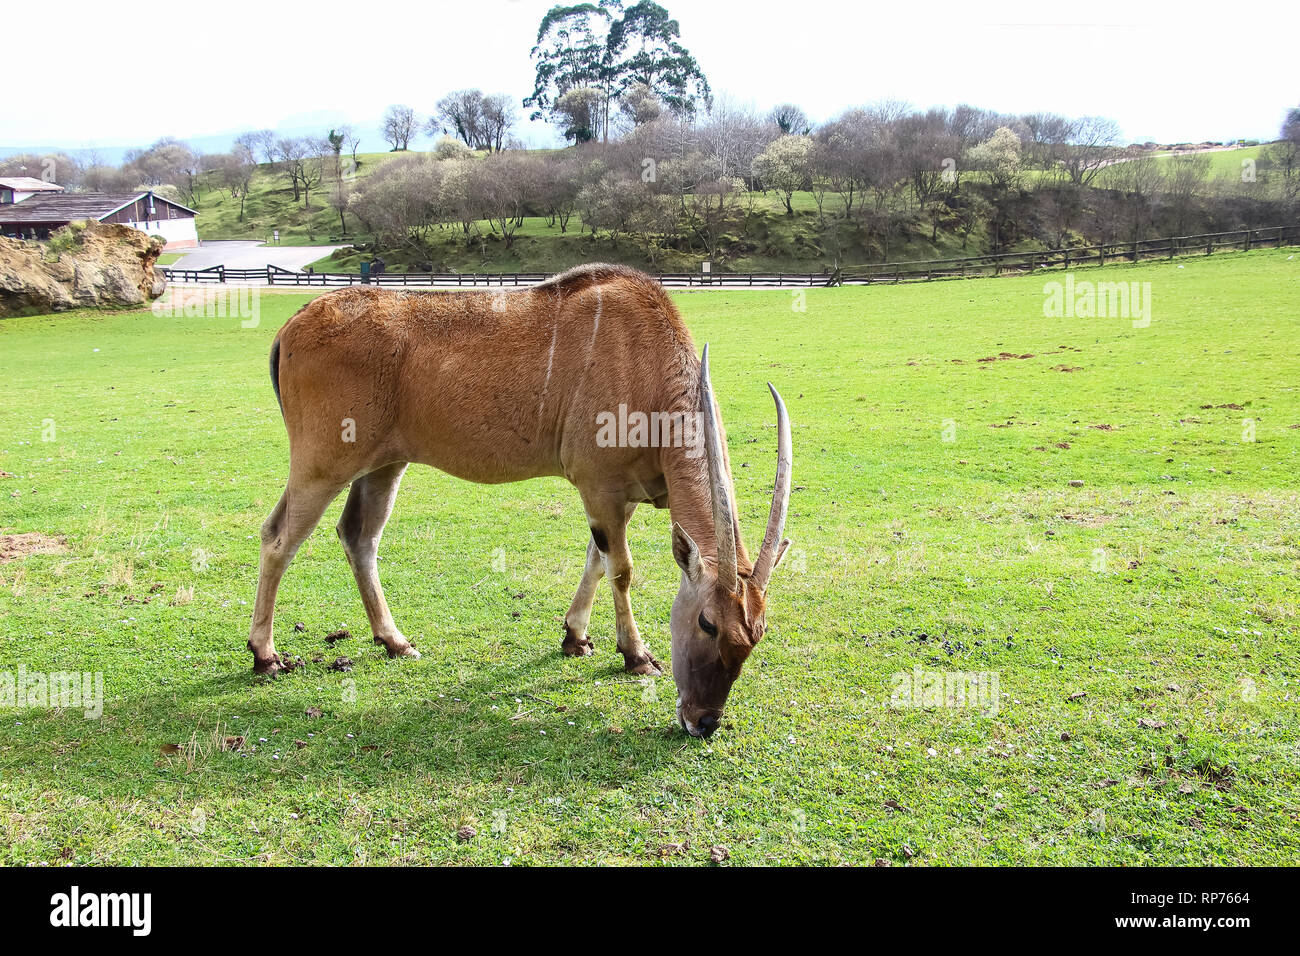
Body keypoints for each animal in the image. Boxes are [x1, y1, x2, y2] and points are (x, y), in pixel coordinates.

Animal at [249, 264, 792, 737]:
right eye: (706, 623)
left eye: (757, 634)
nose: (704, 722)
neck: (645, 363)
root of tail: (293, 325)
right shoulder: (599, 488)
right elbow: (620, 568)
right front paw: (636, 656)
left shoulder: (622, 497)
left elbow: (596, 560)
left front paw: (575, 638)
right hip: (323, 464)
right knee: (278, 537)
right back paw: (266, 655)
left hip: (384, 466)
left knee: (359, 536)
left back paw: (395, 642)